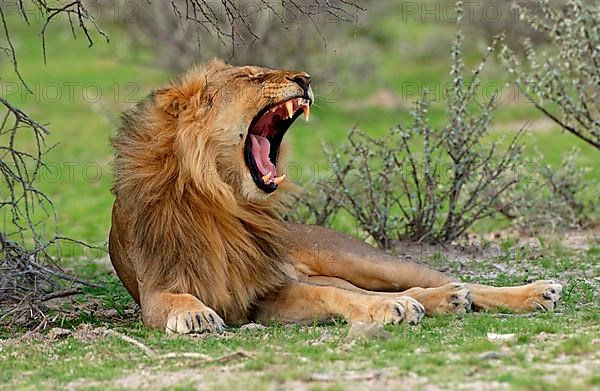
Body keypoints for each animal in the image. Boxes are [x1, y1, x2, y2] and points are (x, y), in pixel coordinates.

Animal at [109, 59, 564, 336]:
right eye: (252, 77)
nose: (305, 79)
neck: (223, 202)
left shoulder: (269, 290)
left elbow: (337, 297)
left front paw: (389, 311)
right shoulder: (159, 289)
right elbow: (176, 298)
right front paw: (194, 313)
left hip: (361, 259)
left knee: (435, 280)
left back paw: (532, 292)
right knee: (404, 291)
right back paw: (439, 302)